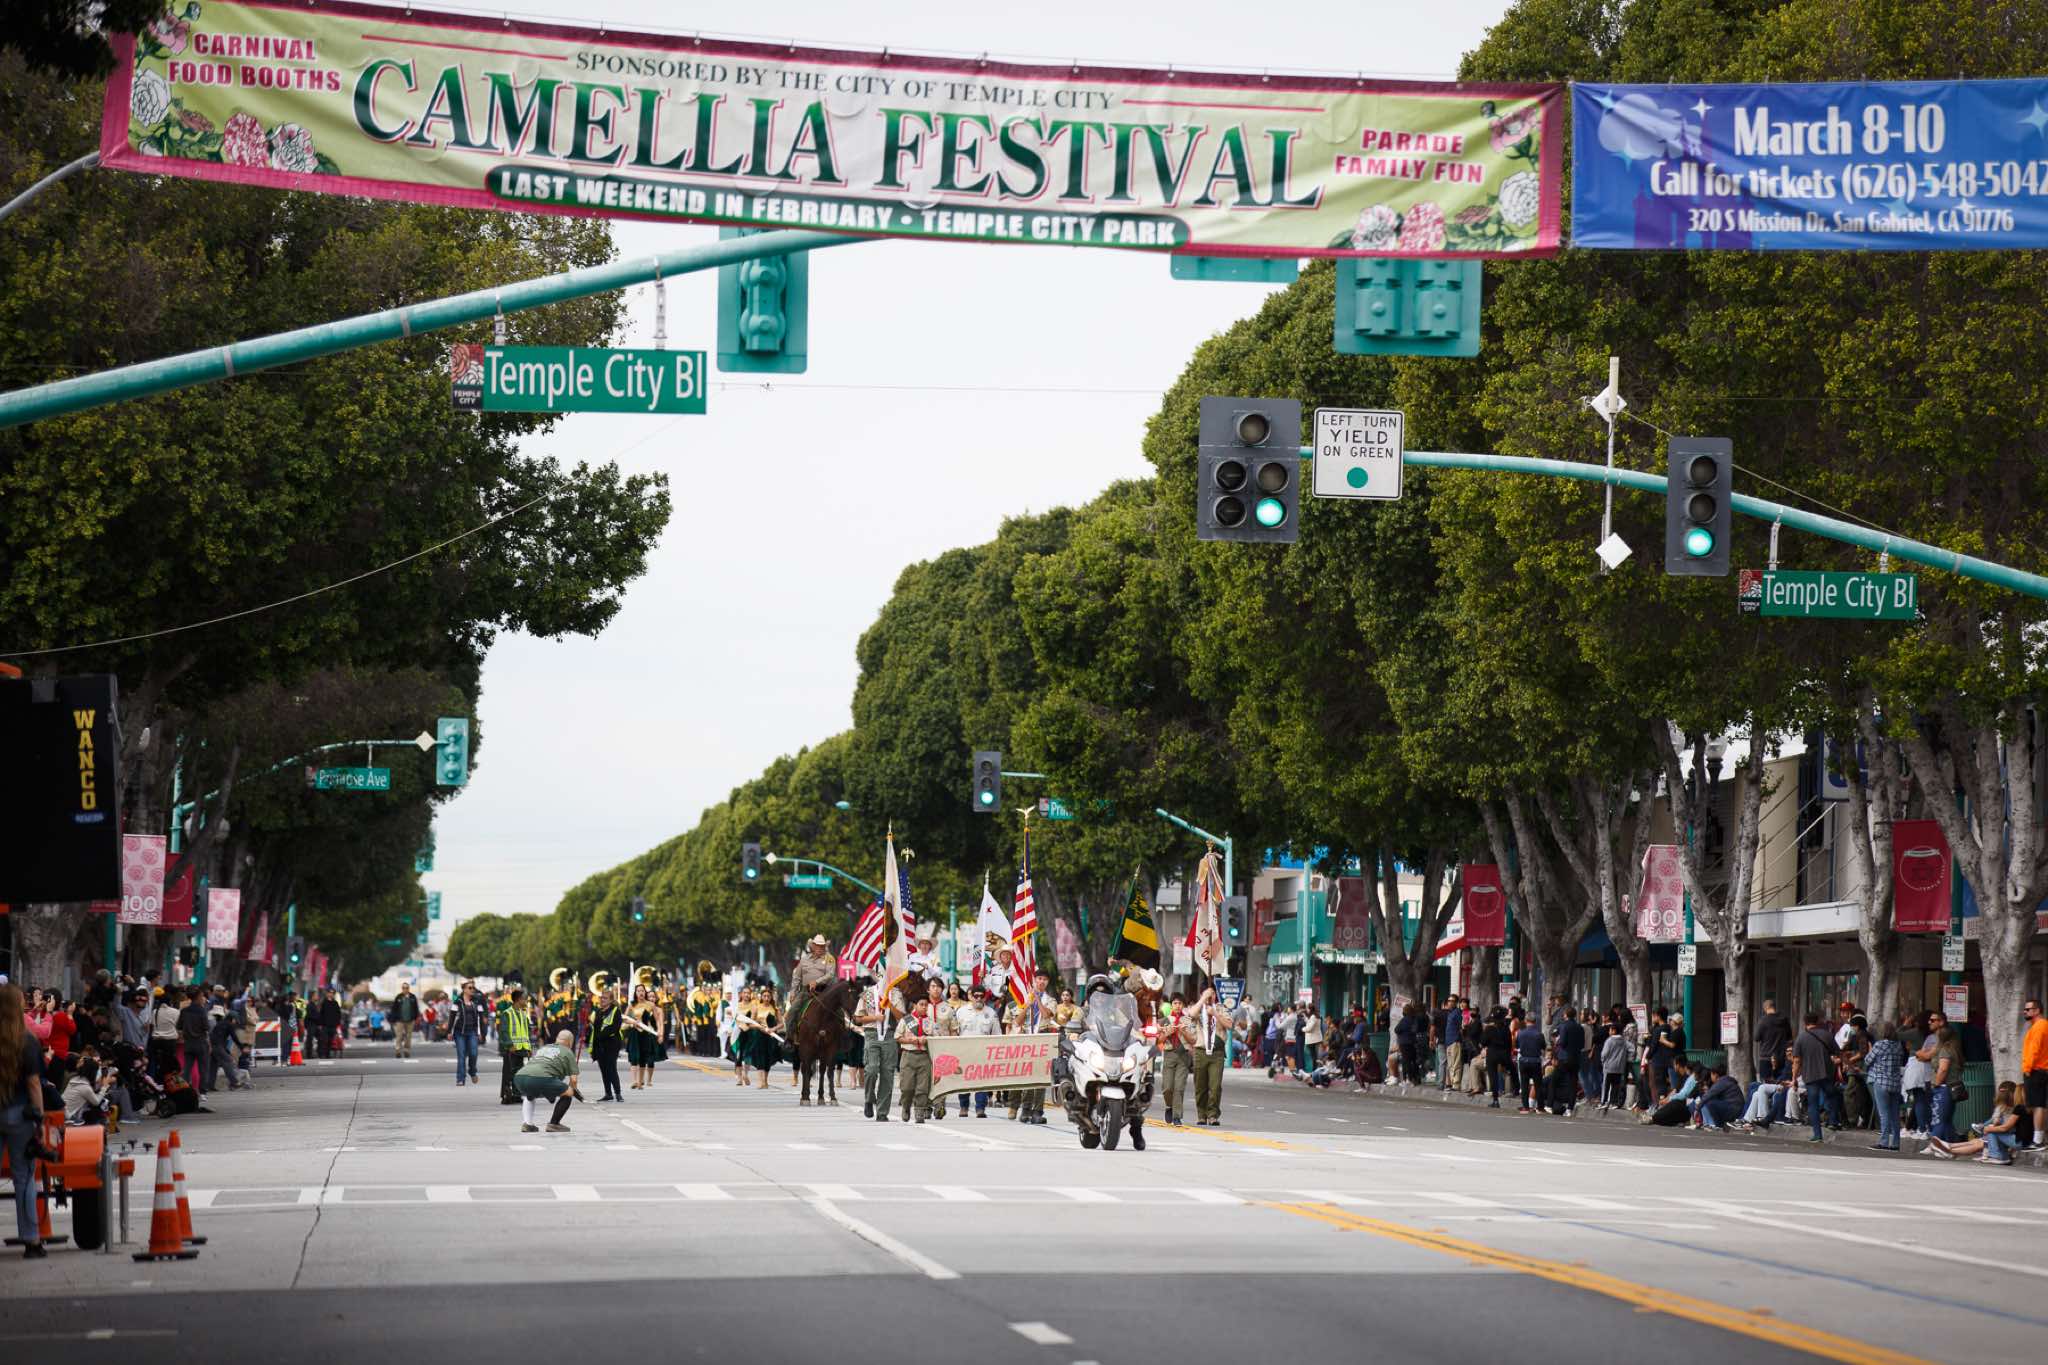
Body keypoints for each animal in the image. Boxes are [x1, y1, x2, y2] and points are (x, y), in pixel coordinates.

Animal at [796, 976, 862, 1107]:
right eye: (851, 994)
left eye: (858, 997)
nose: (856, 1020)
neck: (822, 1015)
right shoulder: (806, 1047)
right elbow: (807, 1070)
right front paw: (805, 1097)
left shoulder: (831, 1048)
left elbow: (829, 1072)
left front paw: (832, 1097)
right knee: (805, 1069)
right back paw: (804, 1095)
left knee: (821, 1070)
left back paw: (821, 1097)